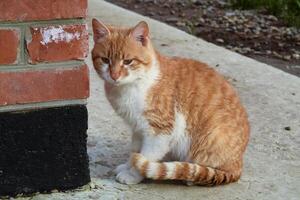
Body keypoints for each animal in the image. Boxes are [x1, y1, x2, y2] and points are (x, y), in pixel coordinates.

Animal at [92, 18, 251, 186]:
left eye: (128, 61)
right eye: (105, 60)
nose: (114, 76)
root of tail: (238, 165)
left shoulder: (160, 132)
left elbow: (144, 157)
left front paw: (132, 175)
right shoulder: (138, 128)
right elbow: (134, 151)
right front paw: (127, 166)